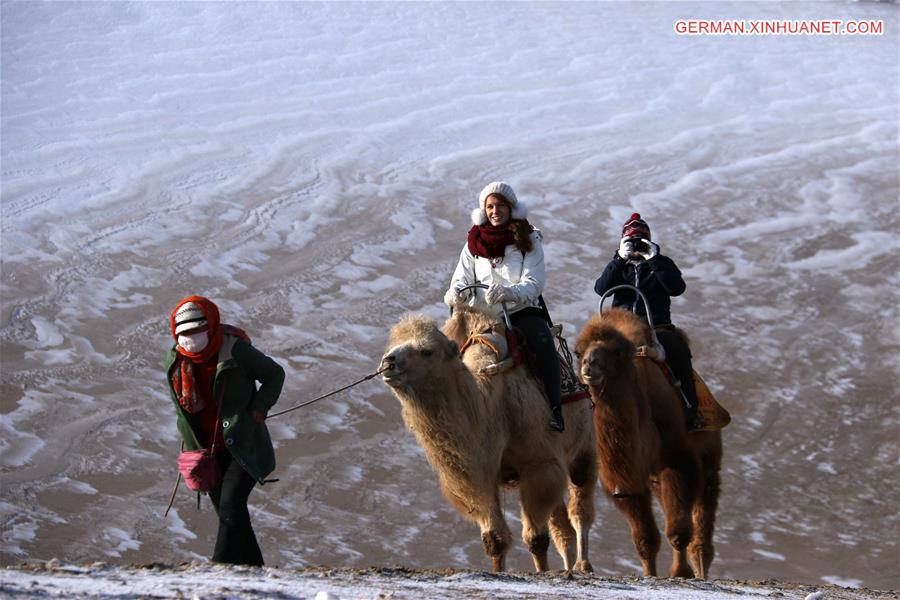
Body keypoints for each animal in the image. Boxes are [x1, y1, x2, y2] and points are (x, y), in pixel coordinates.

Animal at [382, 308, 596, 576]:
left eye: (427, 351)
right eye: (395, 343)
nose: (387, 362)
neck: (489, 409)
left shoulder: (537, 465)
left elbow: (536, 539)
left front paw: (541, 573)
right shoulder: (480, 477)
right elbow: (495, 539)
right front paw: (500, 573)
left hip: (583, 448)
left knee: (580, 508)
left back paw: (582, 565)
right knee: (561, 525)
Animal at [576, 308, 724, 580]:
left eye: (616, 352)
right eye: (577, 352)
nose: (589, 365)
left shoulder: (678, 459)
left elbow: (678, 530)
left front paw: (680, 572)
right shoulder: (627, 482)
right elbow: (644, 538)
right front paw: (650, 574)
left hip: (708, 458)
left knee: (702, 514)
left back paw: (700, 569)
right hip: (655, 477)